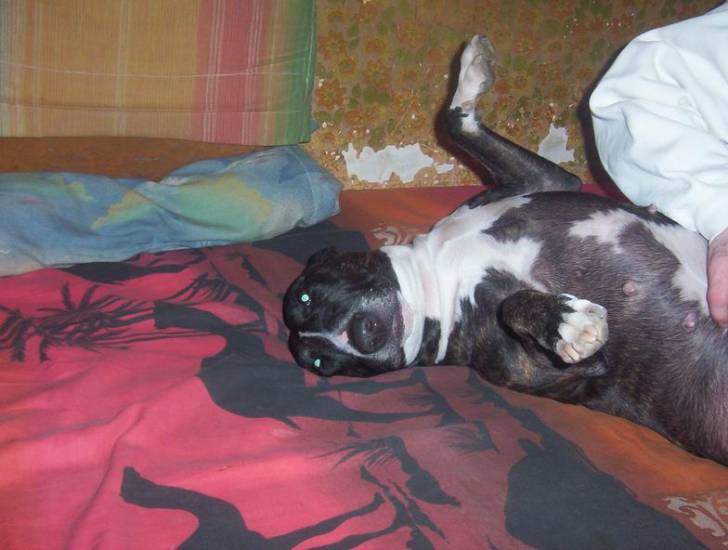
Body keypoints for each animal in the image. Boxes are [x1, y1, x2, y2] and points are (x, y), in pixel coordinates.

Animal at [283, 35, 728, 465]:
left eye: (308, 295)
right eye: (320, 363)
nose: (360, 334)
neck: (433, 282)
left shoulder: (546, 183)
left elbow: (454, 122)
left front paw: (471, 73)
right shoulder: (548, 367)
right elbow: (514, 305)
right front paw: (567, 324)